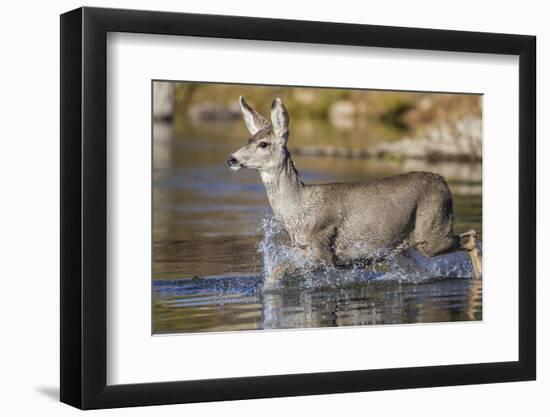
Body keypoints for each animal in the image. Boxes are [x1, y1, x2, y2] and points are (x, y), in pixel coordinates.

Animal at [227, 96, 484, 282]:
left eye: (263, 144)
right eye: (247, 140)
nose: (231, 159)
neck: (298, 209)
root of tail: (444, 182)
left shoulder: (322, 250)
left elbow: (277, 270)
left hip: (431, 231)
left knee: (471, 236)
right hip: (402, 247)